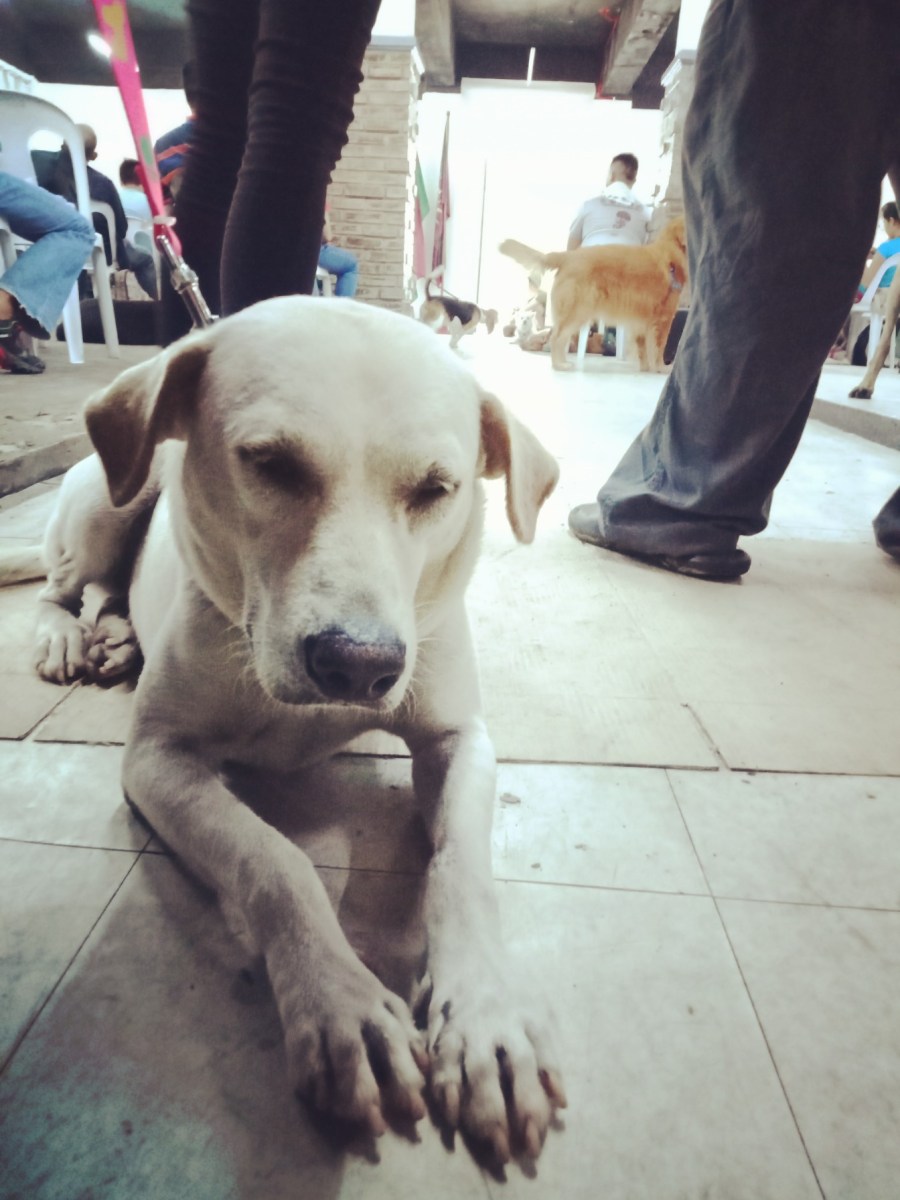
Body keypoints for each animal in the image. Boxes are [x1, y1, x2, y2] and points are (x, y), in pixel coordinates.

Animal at [22, 297, 564, 1160]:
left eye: (436, 489)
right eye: (270, 464)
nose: (358, 665)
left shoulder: (461, 738)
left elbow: (464, 869)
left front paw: (486, 1019)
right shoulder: (156, 760)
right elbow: (274, 861)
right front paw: (339, 1001)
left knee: (109, 590)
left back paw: (115, 640)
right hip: (106, 501)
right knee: (64, 583)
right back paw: (67, 637)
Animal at [499, 217, 688, 372]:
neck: (671, 253)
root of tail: (568, 256)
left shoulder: (639, 322)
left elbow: (642, 349)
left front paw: (646, 369)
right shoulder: (663, 320)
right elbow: (658, 349)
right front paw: (662, 368)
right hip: (578, 312)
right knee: (557, 338)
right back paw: (560, 365)